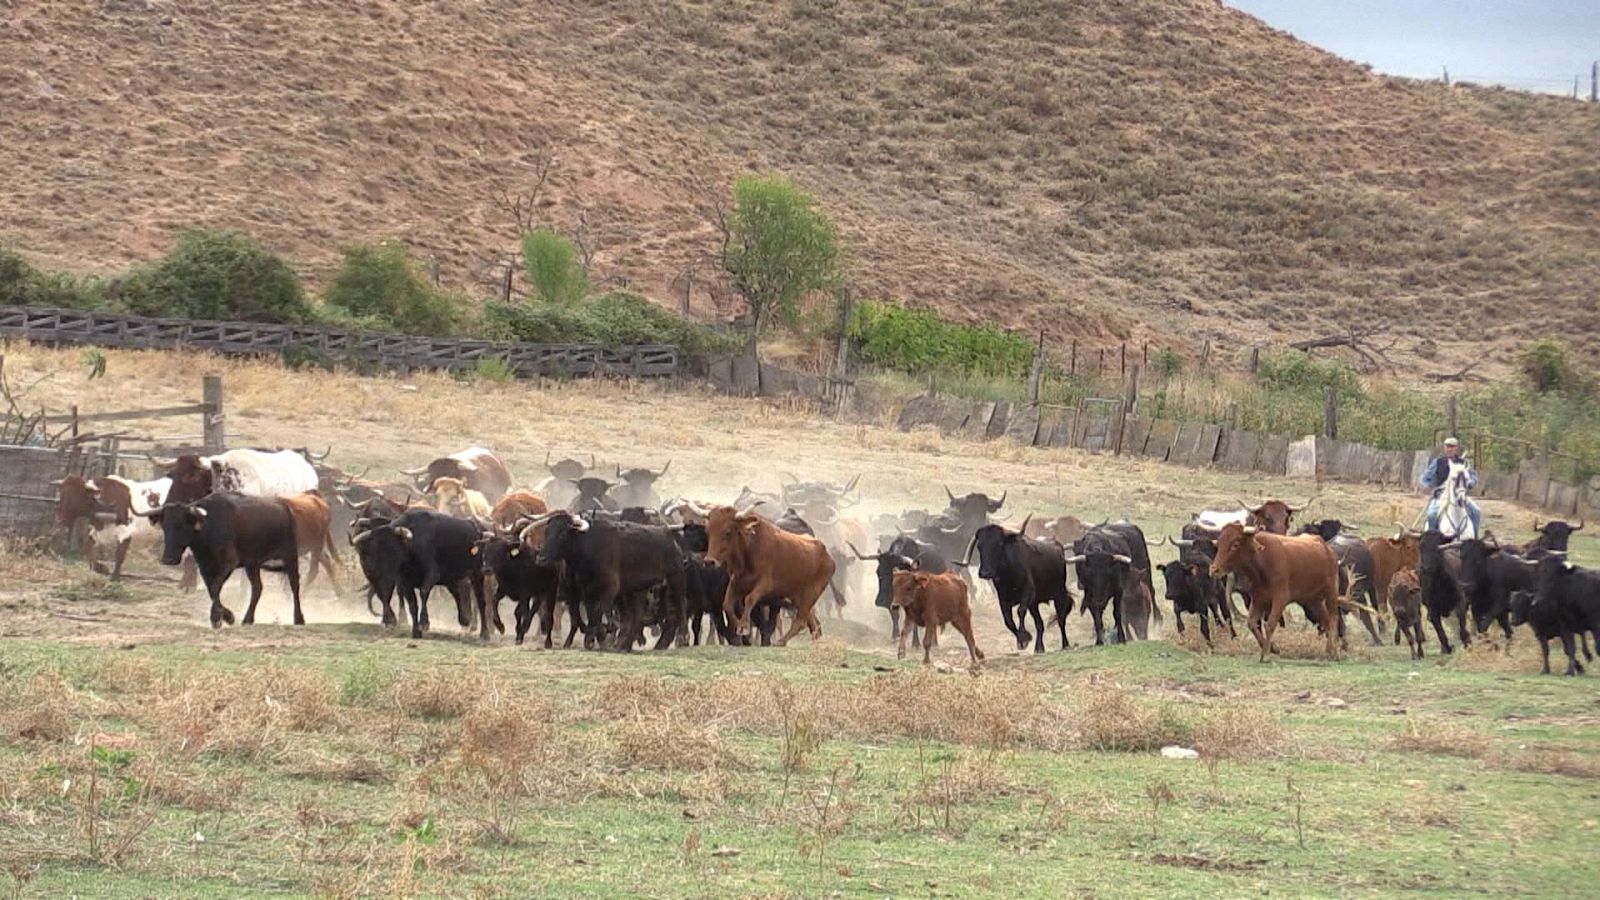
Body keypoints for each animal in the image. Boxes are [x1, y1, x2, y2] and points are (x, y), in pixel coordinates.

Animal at [710, 499, 838, 640]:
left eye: (727, 531)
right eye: (708, 530)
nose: (710, 561)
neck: (751, 548)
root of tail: (828, 557)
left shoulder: (765, 585)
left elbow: (750, 599)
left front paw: (744, 627)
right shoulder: (736, 584)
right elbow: (727, 604)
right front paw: (740, 625)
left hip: (810, 595)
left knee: (801, 621)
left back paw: (781, 641)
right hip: (797, 598)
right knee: (812, 623)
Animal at [1203, 518, 1344, 659]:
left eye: (1235, 544)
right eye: (1219, 544)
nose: (1214, 570)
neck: (1262, 562)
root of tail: (1327, 549)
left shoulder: (1280, 599)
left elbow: (1270, 624)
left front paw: (1265, 653)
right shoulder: (1258, 600)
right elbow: (1252, 623)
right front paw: (1273, 648)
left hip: (1331, 593)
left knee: (1333, 618)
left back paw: (1335, 652)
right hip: (1312, 601)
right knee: (1325, 620)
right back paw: (1330, 650)